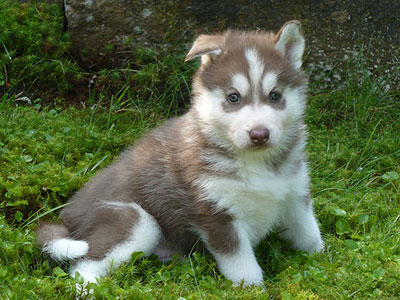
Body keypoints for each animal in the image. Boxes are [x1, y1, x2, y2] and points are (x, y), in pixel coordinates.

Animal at [37, 20, 324, 286]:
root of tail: (67, 216)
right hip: (135, 220)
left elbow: (310, 234)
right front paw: (253, 290)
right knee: (83, 265)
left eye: (275, 95)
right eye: (233, 97)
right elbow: (243, 266)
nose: (259, 134)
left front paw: (327, 261)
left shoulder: (295, 195)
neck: (255, 163)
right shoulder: (216, 214)